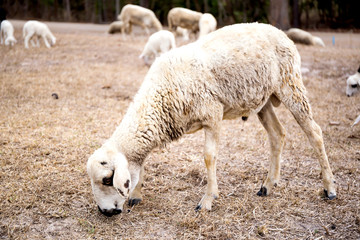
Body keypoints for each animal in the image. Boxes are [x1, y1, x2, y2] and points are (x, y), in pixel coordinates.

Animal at [88, 23, 338, 218]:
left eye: (108, 180)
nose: (105, 212)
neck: (161, 96)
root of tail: (279, 31)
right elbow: (142, 164)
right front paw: (137, 194)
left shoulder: (213, 114)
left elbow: (209, 157)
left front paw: (207, 200)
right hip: (263, 99)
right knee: (277, 134)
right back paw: (268, 185)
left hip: (290, 84)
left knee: (314, 132)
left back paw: (329, 188)